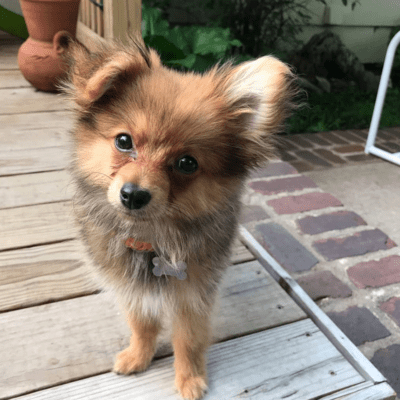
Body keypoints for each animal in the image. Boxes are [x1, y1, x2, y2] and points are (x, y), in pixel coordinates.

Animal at [61, 36, 296, 398]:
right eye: (123, 141)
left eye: (187, 163)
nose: (133, 194)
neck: (150, 239)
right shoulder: (131, 291)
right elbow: (142, 326)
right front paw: (138, 356)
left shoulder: (193, 297)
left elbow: (188, 341)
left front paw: (189, 379)